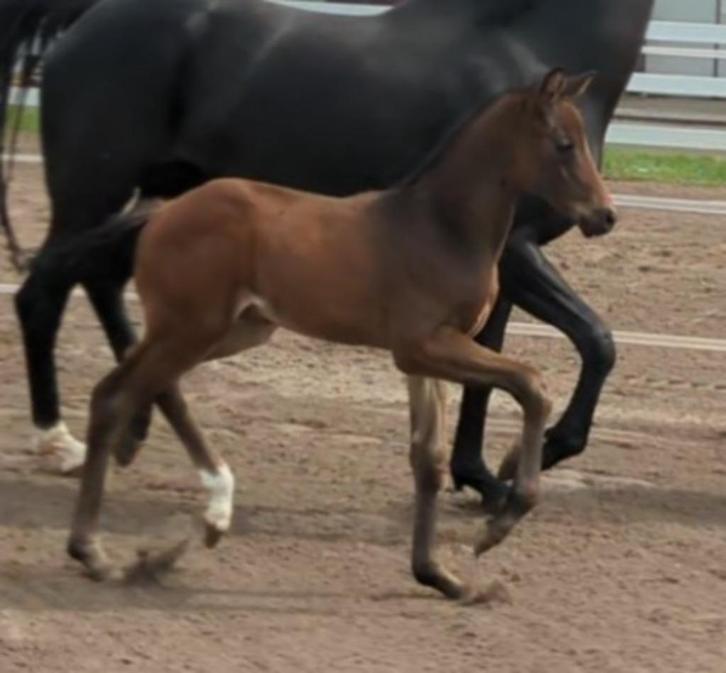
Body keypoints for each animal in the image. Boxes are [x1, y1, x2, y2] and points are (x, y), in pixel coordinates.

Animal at [1, 0, 654, 504]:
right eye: (562, 144)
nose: (604, 216)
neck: (521, 40)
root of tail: (84, 20)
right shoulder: (516, 252)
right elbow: (596, 342)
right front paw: (535, 456)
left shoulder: (494, 266)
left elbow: (489, 363)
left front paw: (481, 476)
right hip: (91, 193)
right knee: (44, 291)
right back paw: (59, 441)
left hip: (157, 198)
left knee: (103, 285)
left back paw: (133, 426)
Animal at [66, 70, 615, 600]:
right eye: (564, 143)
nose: (604, 215)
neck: (440, 226)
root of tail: (162, 212)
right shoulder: (423, 345)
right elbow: (531, 384)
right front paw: (499, 521)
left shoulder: (425, 359)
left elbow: (428, 459)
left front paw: (440, 577)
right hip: (193, 327)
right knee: (121, 394)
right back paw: (99, 549)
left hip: (234, 330)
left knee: (140, 389)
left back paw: (200, 518)